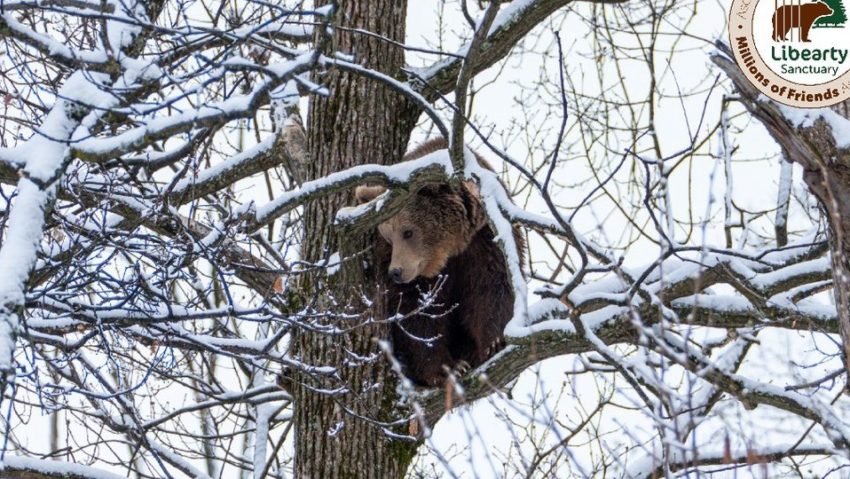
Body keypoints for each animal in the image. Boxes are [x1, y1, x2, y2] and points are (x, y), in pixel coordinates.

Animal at [352, 138, 524, 386]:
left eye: (408, 232)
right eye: (389, 237)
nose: (396, 271)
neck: (449, 251)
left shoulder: (487, 239)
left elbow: (491, 289)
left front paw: (493, 342)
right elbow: (417, 314)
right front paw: (448, 369)